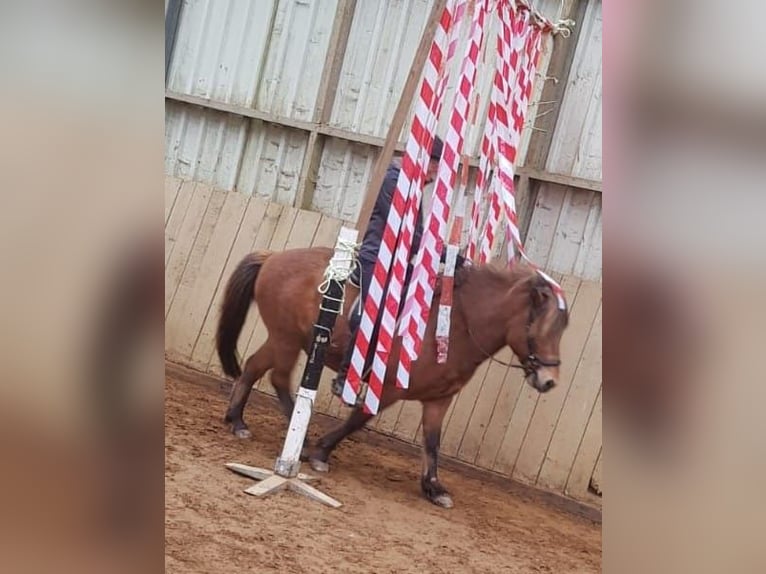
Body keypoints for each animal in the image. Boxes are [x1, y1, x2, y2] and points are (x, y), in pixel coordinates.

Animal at [216, 248, 568, 508]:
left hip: (284, 338)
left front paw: (434, 488)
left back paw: (238, 421)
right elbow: (359, 418)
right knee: (278, 377)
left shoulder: (439, 399)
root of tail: (273, 257)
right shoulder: (389, 387)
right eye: (542, 327)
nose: (549, 380)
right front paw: (320, 453)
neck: (456, 323)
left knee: (254, 366)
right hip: (286, 339)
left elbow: (432, 441)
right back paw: (291, 435)